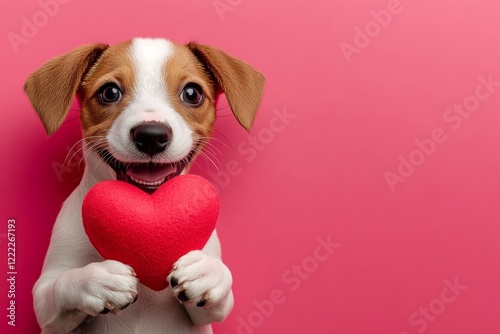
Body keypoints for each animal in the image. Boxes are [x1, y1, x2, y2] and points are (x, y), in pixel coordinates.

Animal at [24, 37, 266, 334]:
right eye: (109, 92)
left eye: (192, 93)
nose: (152, 135)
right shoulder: (47, 306)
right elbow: (60, 285)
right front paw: (97, 280)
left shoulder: (207, 311)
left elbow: (223, 290)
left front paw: (208, 273)